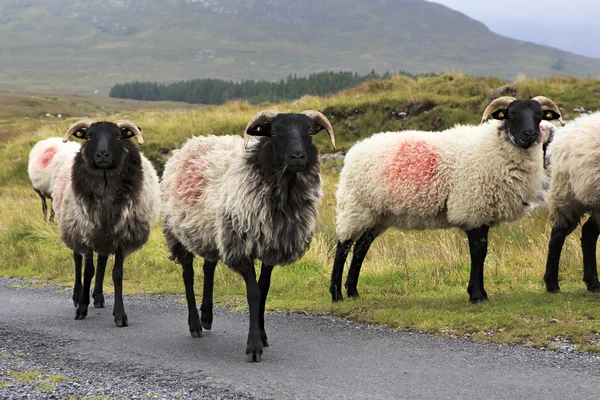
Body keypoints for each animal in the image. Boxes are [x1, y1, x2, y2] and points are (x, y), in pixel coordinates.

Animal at [53, 120, 161, 326]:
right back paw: (78, 295)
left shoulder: (121, 237)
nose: (103, 155)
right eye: (88, 137)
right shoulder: (86, 233)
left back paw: (98, 297)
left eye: (118, 137)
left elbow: (116, 274)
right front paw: (82, 308)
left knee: (102, 261)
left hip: (104, 236)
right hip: (73, 227)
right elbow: (88, 271)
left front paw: (120, 315)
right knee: (77, 259)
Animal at [162, 110, 336, 362]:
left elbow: (264, 290)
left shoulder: (271, 245)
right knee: (188, 274)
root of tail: (191, 142)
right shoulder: (241, 245)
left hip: (211, 231)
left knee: (208, 267)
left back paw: (207, 317)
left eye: (310, 132)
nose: (297, 157)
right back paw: (195, 324)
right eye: (274, 132)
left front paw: (262, 336)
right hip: (177, 231)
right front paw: (254, 346)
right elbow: (253, 293)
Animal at [328, 96, 564, 304]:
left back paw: (353, 291)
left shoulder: (483, 211)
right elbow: (478, 252)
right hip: (356, 206)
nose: (530, 134)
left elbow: (483, 252)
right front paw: (476, 295)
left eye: (539, 116)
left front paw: (482, 293)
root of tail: (356, 149)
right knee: (343, 246)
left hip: (378, 215)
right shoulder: (471, 208)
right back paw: (337, 294)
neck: (496, 148)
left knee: (361, 247)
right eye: (511, 115)